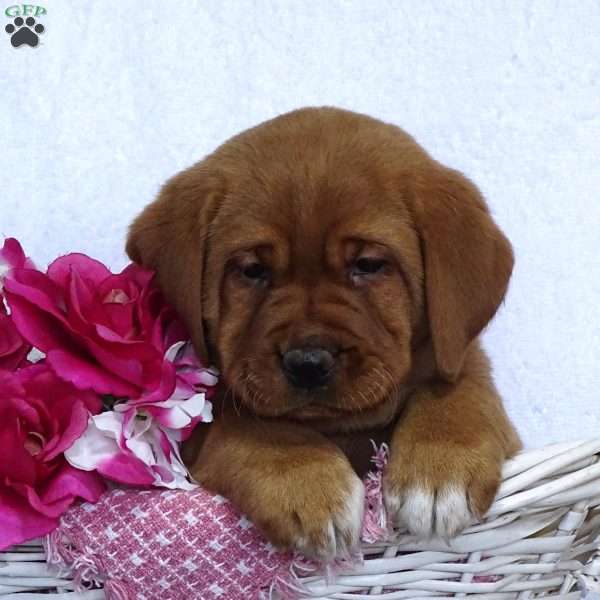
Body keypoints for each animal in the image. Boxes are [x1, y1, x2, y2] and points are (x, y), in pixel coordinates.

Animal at [126, 105, 520, 560]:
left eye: (367, 265)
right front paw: (309, 485)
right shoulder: (207, 424)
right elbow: (251, 426)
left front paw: (440, 470)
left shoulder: (460, 354)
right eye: (253, 270)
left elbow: (461, 389)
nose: (308, 363)